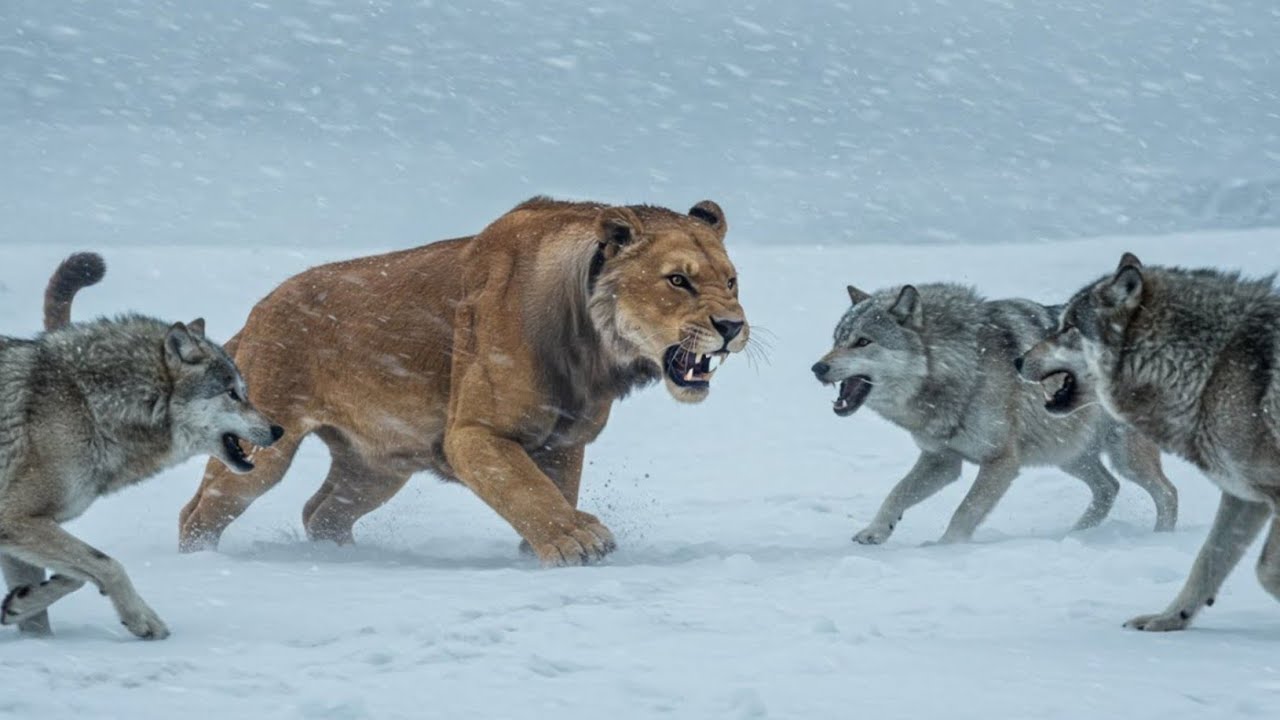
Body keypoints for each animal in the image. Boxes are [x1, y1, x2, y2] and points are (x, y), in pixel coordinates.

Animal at [0, 252, 283, 639]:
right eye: (233, 394)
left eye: (246, 392)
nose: (278, 430)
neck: (90, 406)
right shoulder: (14, 517)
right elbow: (108, 564)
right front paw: (143, 620)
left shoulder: (20, 531)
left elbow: (68, 584)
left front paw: (23, 612)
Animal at [178, 197, 749, 565]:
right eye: (678, 280)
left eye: (731, 281)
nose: (732, 327)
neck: (595, 350)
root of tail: (259, 310)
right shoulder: (474, 434)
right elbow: (527, 490)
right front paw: (575, 543)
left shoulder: (564, 441)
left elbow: (551, 491)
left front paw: (535, 551)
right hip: (262, 449)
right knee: (200, 511)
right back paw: (201, 567)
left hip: (377, 466)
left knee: (322, 513)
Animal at [812, 282, 1177, 545]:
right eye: (837, 340)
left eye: (863, 342)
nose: (817, 368)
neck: (961, 368)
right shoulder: (941, 460)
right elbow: (896, 493)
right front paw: (875, 531)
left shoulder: (1001, 461)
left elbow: (965, 511)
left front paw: (947, 548)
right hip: (1067, 453)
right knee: (1109, 488)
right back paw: (1075, 535)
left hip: (1123, 456)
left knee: (1167, 492)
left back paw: (1161, 539)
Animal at [1019, 253, 1280, 631]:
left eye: (1068, 328)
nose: (1018, 360)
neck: (1209, 368)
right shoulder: (1245, 495)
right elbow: (1207, 559)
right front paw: (1169, 619)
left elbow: (1266, 572)